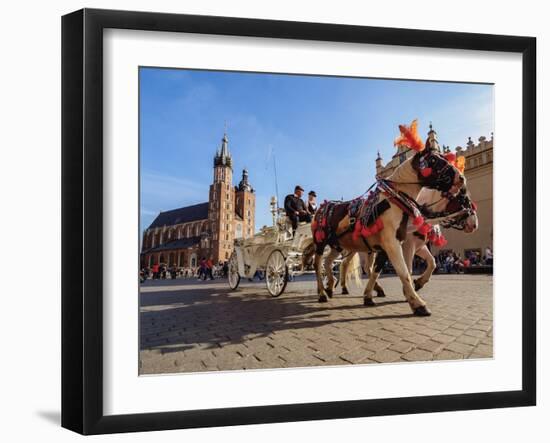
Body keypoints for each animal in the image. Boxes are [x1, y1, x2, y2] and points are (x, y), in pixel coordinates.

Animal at [312, 120, 464, 316]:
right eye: (433, 160)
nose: (461, 178)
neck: (395, 200)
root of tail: (323, 206)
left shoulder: (387, 246)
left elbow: (377, 271)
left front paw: (369, 296)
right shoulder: (392, 244)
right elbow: (404, 272)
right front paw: (418, 303)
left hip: (338, 245)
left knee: (331, 262)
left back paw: (330, 287)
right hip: (320, 243)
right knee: (318, 265)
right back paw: (322, 293)